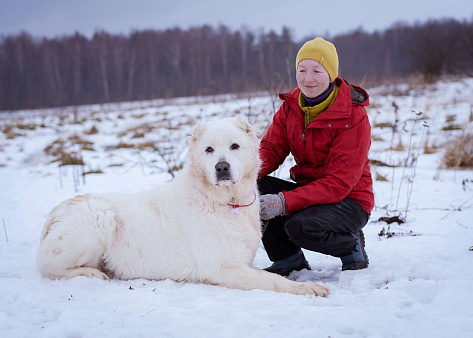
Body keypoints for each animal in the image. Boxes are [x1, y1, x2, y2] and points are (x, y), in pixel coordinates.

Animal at [37, 116, 328, 296]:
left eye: (234, 146)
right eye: (209, 150)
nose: (222, 167)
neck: (223, 200)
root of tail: (54, 213)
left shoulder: (238, 263)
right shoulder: (221, 268)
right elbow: (272, 280)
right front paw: (308, 288)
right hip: (100, 218)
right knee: (49, 267)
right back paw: (92, 273)